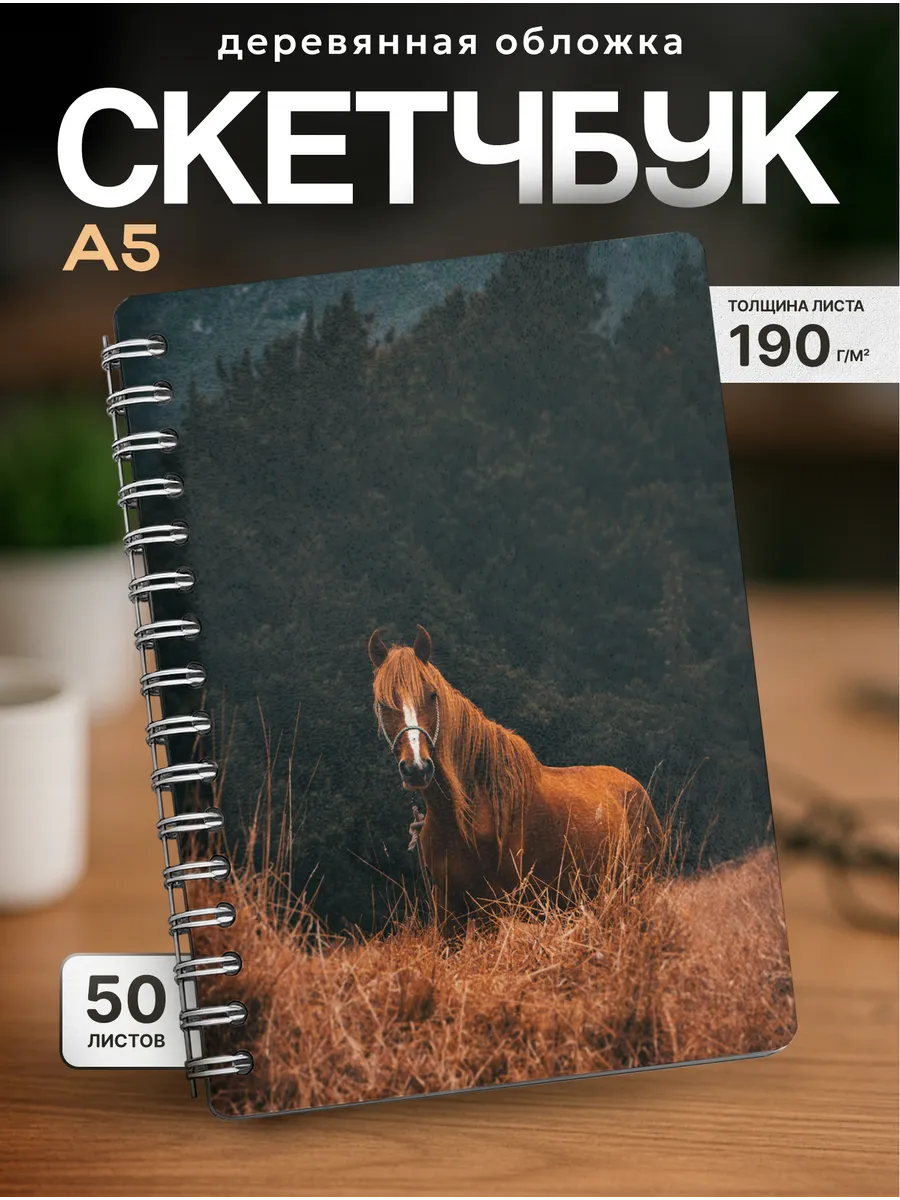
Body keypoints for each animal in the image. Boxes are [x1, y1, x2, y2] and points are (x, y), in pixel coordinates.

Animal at [368, 625, 661, 930]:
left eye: (432, 695)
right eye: (382, 703)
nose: (416, 768)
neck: (470, 811)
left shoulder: (491, 907)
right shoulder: (447, 906)